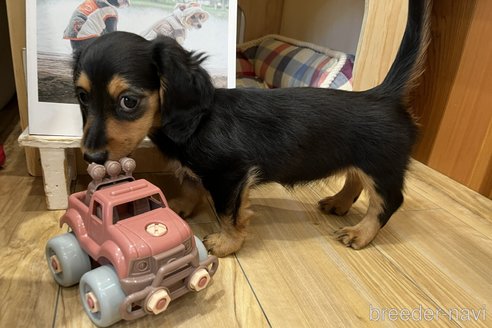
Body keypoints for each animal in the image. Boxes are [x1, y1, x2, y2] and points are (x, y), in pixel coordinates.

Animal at [73, 0, 430, 256]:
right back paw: (339, 203)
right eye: (82, 96)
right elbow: (190, 184)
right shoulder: (202, 171)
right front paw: (182, 207)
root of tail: (382, 94)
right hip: (363, 159)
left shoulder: (230, 175)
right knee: (354, 179)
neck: (196, 122)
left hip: (383, 167)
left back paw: (361, 233)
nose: (91, 157)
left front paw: (226, 243)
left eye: (128, 101)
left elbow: (227, 212)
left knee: (389, 201)